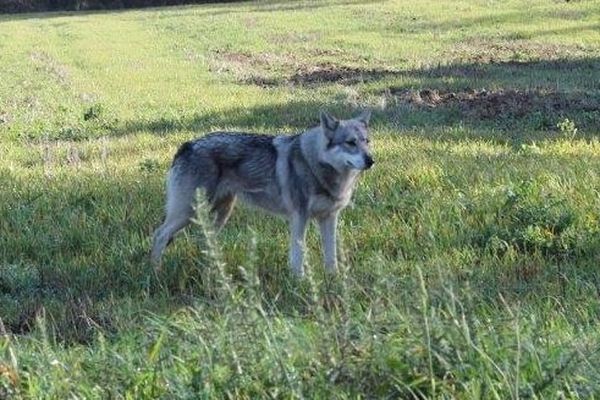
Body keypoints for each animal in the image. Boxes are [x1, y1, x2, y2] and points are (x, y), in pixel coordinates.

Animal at [151, 111, 370, 276]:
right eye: (350, 143)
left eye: (367, 141)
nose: (371, 160)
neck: (315, 163)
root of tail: (188, 144)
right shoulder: (299, 218)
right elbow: (298, 257)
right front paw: (299, 282)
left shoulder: (329, 218)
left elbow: (331, 255)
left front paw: (334, 279)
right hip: (188, 213)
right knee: (159, 235)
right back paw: (155, 271)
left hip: (219, 214)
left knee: (203, 240)